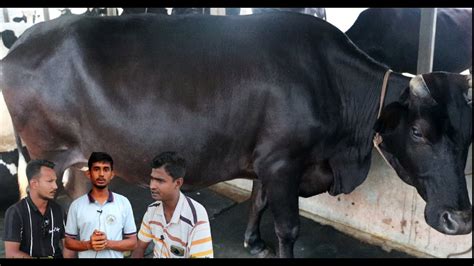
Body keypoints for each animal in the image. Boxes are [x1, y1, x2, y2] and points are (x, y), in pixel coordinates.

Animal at [0, 13, 470, 258]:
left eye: (468, 136)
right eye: (418, 131)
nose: (460, 219)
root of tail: (25, 40)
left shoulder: (268, 158)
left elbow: (258, 199)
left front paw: (253, 242)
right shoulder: (283, 161)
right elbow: (289, 226)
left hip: (79, 159)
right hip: (46, 154)